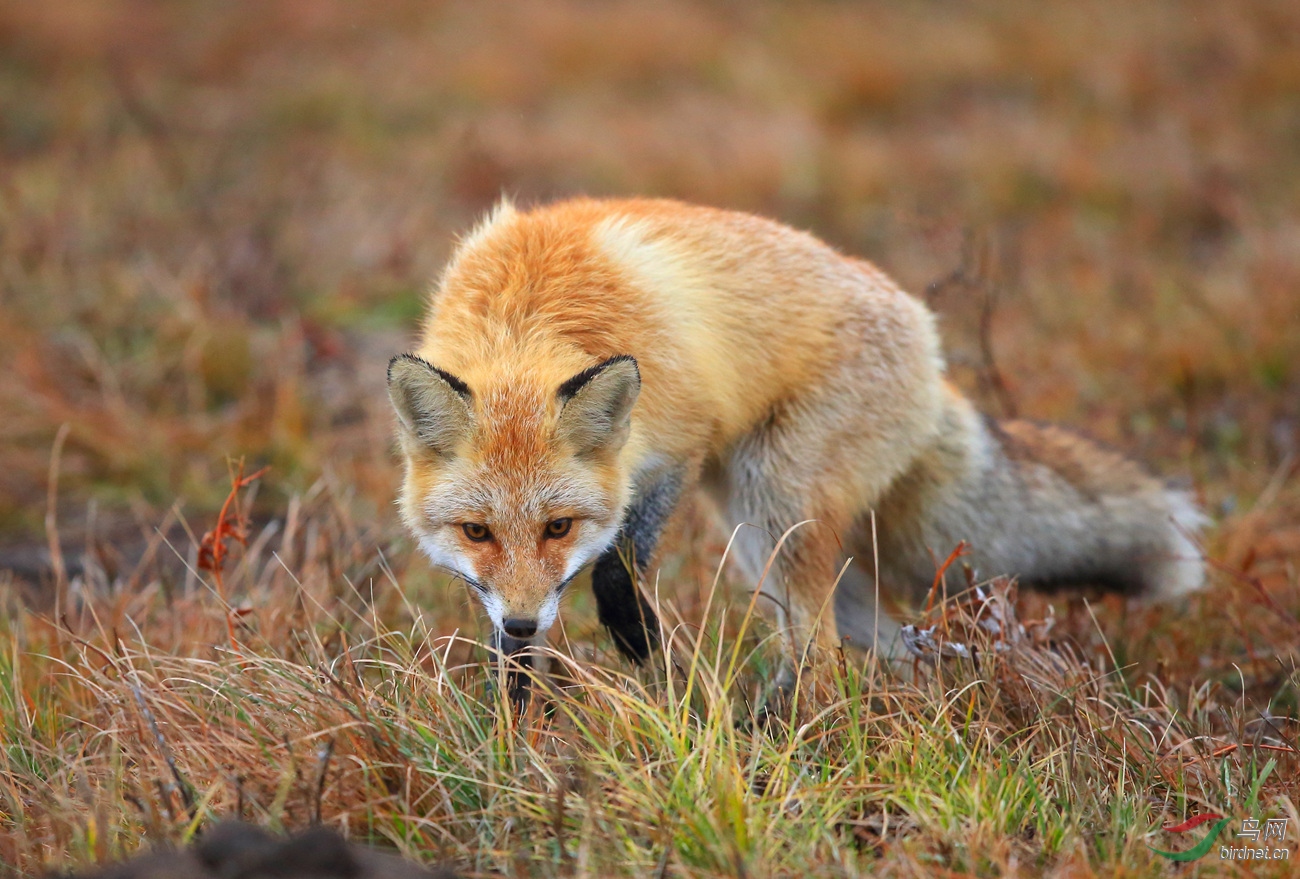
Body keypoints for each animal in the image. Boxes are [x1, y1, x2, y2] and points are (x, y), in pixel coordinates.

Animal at [387, 197, 1206, 686]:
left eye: (559, 527)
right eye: (477, 532)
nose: (525, 620)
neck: (524, 317)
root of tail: (932, 347)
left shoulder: (676, 445)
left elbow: (618, 566)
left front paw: (640, 644)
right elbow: (513, 647)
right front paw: (518, 707)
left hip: (778, 498)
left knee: (824, 651)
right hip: (758, 533)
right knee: (879, 634)